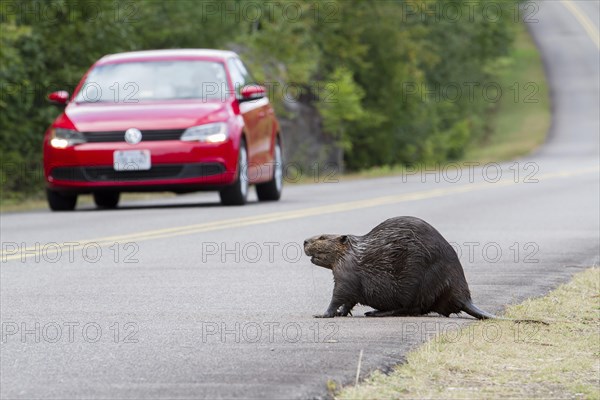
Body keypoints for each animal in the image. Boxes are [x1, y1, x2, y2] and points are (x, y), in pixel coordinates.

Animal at [304, 216, 496, 318]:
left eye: (322, 237)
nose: (305, 241)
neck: (352, 253)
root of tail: (463, 298)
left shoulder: (347, 273)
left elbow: (339, 295)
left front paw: (323, 314)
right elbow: (349, 301)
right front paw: (342, 313)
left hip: (417, 284)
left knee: (411, 308)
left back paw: (374, 312)